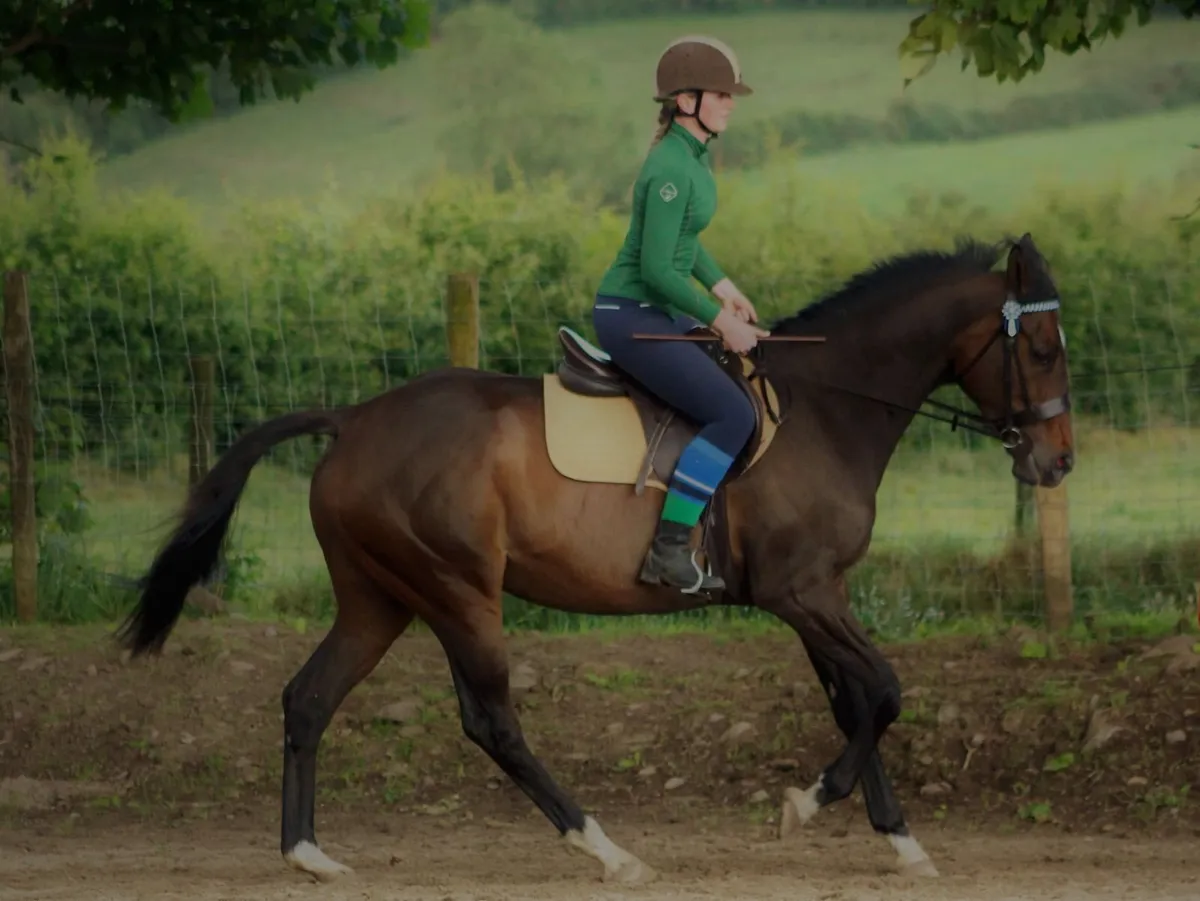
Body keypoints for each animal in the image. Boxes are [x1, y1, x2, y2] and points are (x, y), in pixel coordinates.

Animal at [115, 232, 1074, 886]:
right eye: (1039, 348)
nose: (1057, 464)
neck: (825, 409)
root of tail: (352, 420)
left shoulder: (816, 595)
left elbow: (856, 702)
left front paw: (899, 838)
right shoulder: (802, 591)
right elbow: (883, 690)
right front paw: (807, 803)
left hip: (379, 599)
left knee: (309, 698)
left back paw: (309, 854)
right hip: (459, 591)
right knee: (492, 722)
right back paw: (606, 848)